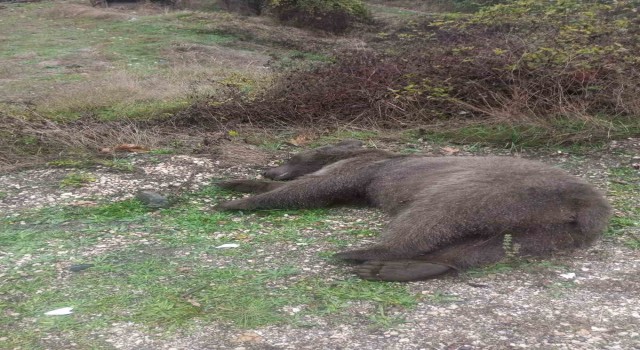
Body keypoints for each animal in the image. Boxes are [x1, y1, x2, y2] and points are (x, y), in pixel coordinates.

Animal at [218, 139, 612, 282]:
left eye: (291, 154)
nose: (269, 169)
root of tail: (589, 203)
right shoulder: (364, 180)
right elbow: (322, 191)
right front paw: (238, 183)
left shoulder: (364, 170)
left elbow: (315, 188)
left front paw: (237, 198)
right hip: (552, 229)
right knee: (491, 248)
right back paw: (405, 267)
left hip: (491, 191)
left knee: (429, 219)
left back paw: (368, 253)